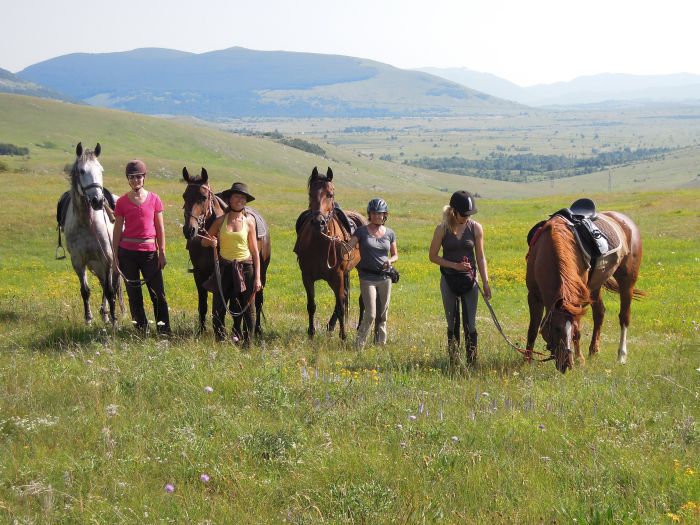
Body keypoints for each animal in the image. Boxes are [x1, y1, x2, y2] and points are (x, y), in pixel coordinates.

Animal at [64, 143, 119, 324]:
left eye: (101, 170)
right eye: (81, 171)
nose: (98, 201)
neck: (86, 224)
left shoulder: (107, 258)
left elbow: (110, 291)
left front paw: (114, 321)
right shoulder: (78, 261)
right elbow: (85, 290)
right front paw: (88, 319)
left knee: (111, 287)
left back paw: (108, 314)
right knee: (103, 284)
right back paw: (104, 313)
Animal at [182, 168, 272, 336]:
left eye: (203, 197)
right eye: (184, 196)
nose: (189, 230)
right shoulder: (199, 273)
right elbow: (203, 304)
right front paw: (201, 331)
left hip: (261, 272)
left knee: (257, 301)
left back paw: (256, 330)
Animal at [292, 167, 366, 340]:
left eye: (330, 194)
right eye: (311, 193)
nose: (318, 222)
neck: (320, 243)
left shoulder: (337, 276)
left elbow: (341, 306)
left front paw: (343, 336)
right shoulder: (307, 277)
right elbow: (311, 305)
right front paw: (311, 334)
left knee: (356, 300)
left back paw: (357, 327)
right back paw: (330, 326)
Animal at [524, 210, 644, 372]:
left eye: (572, 329)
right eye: (556, 329)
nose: (567, 364)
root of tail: (626, 221)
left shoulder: (577, 300)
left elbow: (579, 332)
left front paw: (579, 359)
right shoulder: (534, 296)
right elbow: (532, 330)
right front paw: (526, 362)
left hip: (627, 282)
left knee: (624, 318)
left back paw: (621, 356)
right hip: (595, 286)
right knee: (599, 313)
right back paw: (593, 351)